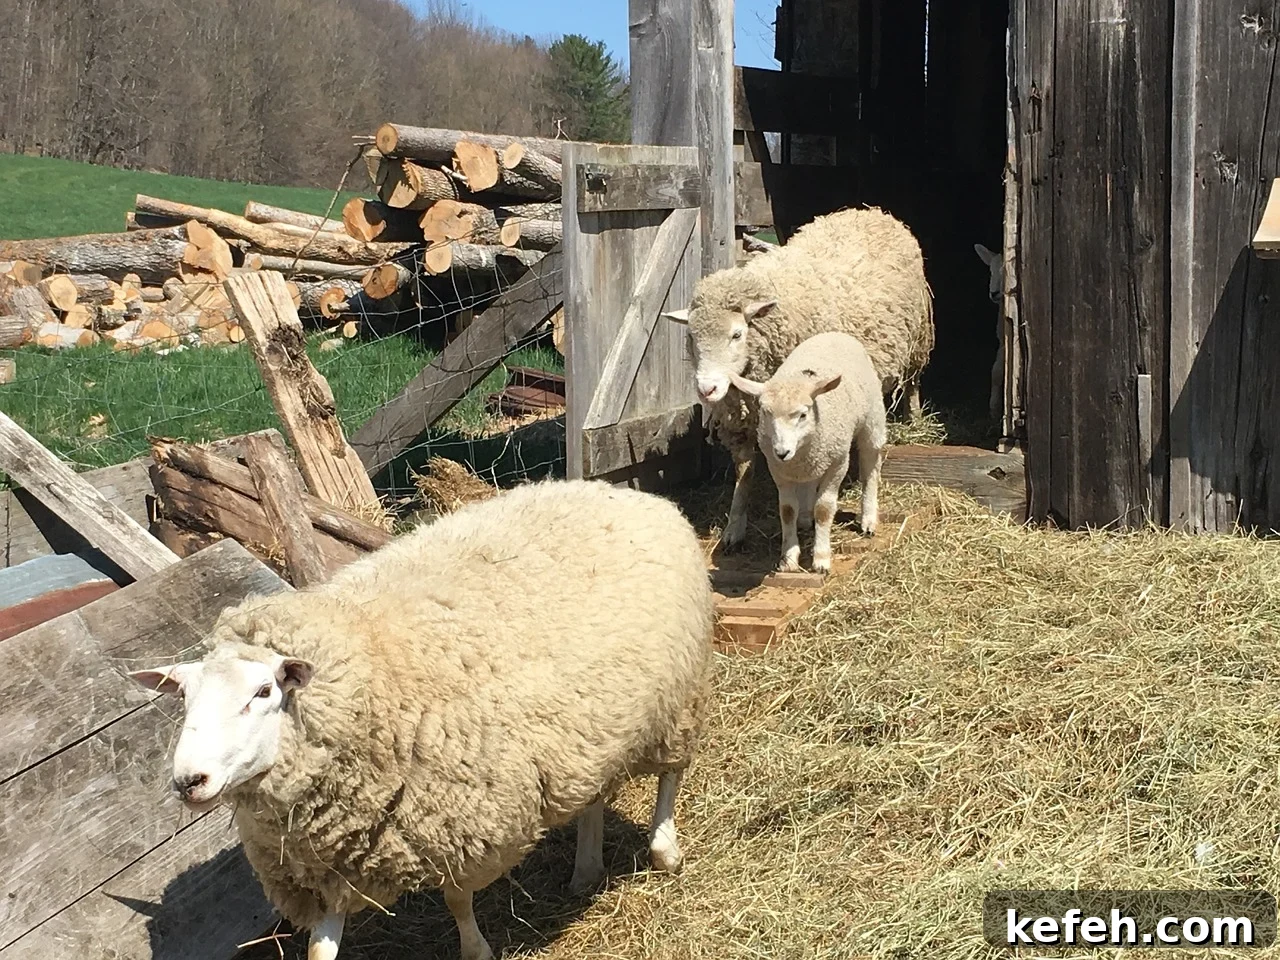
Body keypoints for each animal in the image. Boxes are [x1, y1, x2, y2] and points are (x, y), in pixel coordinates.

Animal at [128, 478, 715, 960]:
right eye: (184, 697)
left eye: (264, 691)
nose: (188, 781)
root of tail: (629, 493)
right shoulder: (331, 866)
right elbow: (321, 946)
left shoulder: (460, 821)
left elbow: (456, 899)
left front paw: (476, 950)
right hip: (591, 724)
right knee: (592, 791)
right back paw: (586, 869)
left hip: (679, 699)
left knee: (671, 773)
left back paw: (665, 851)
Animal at [664, 205, 933, 549]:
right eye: (691, 338)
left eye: (737, 334)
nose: (707, 389)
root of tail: (871, 211)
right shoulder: (744, 419)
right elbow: (744, 473)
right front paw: (734, 528)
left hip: (917, 341)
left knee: (910, 386)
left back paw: (913, 420)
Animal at [730, 331, 886, 574]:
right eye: (765, 412)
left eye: (803, 414)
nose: (782, 451)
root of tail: (834, 333)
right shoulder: (778, 469)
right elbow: (787, 510)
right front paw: (789, 558)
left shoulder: (838, 463)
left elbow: (824, 509)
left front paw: (821, 559)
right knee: (808, 483)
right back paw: (805, 518)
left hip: (872, 420)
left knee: (870, 468)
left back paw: (868, 520)